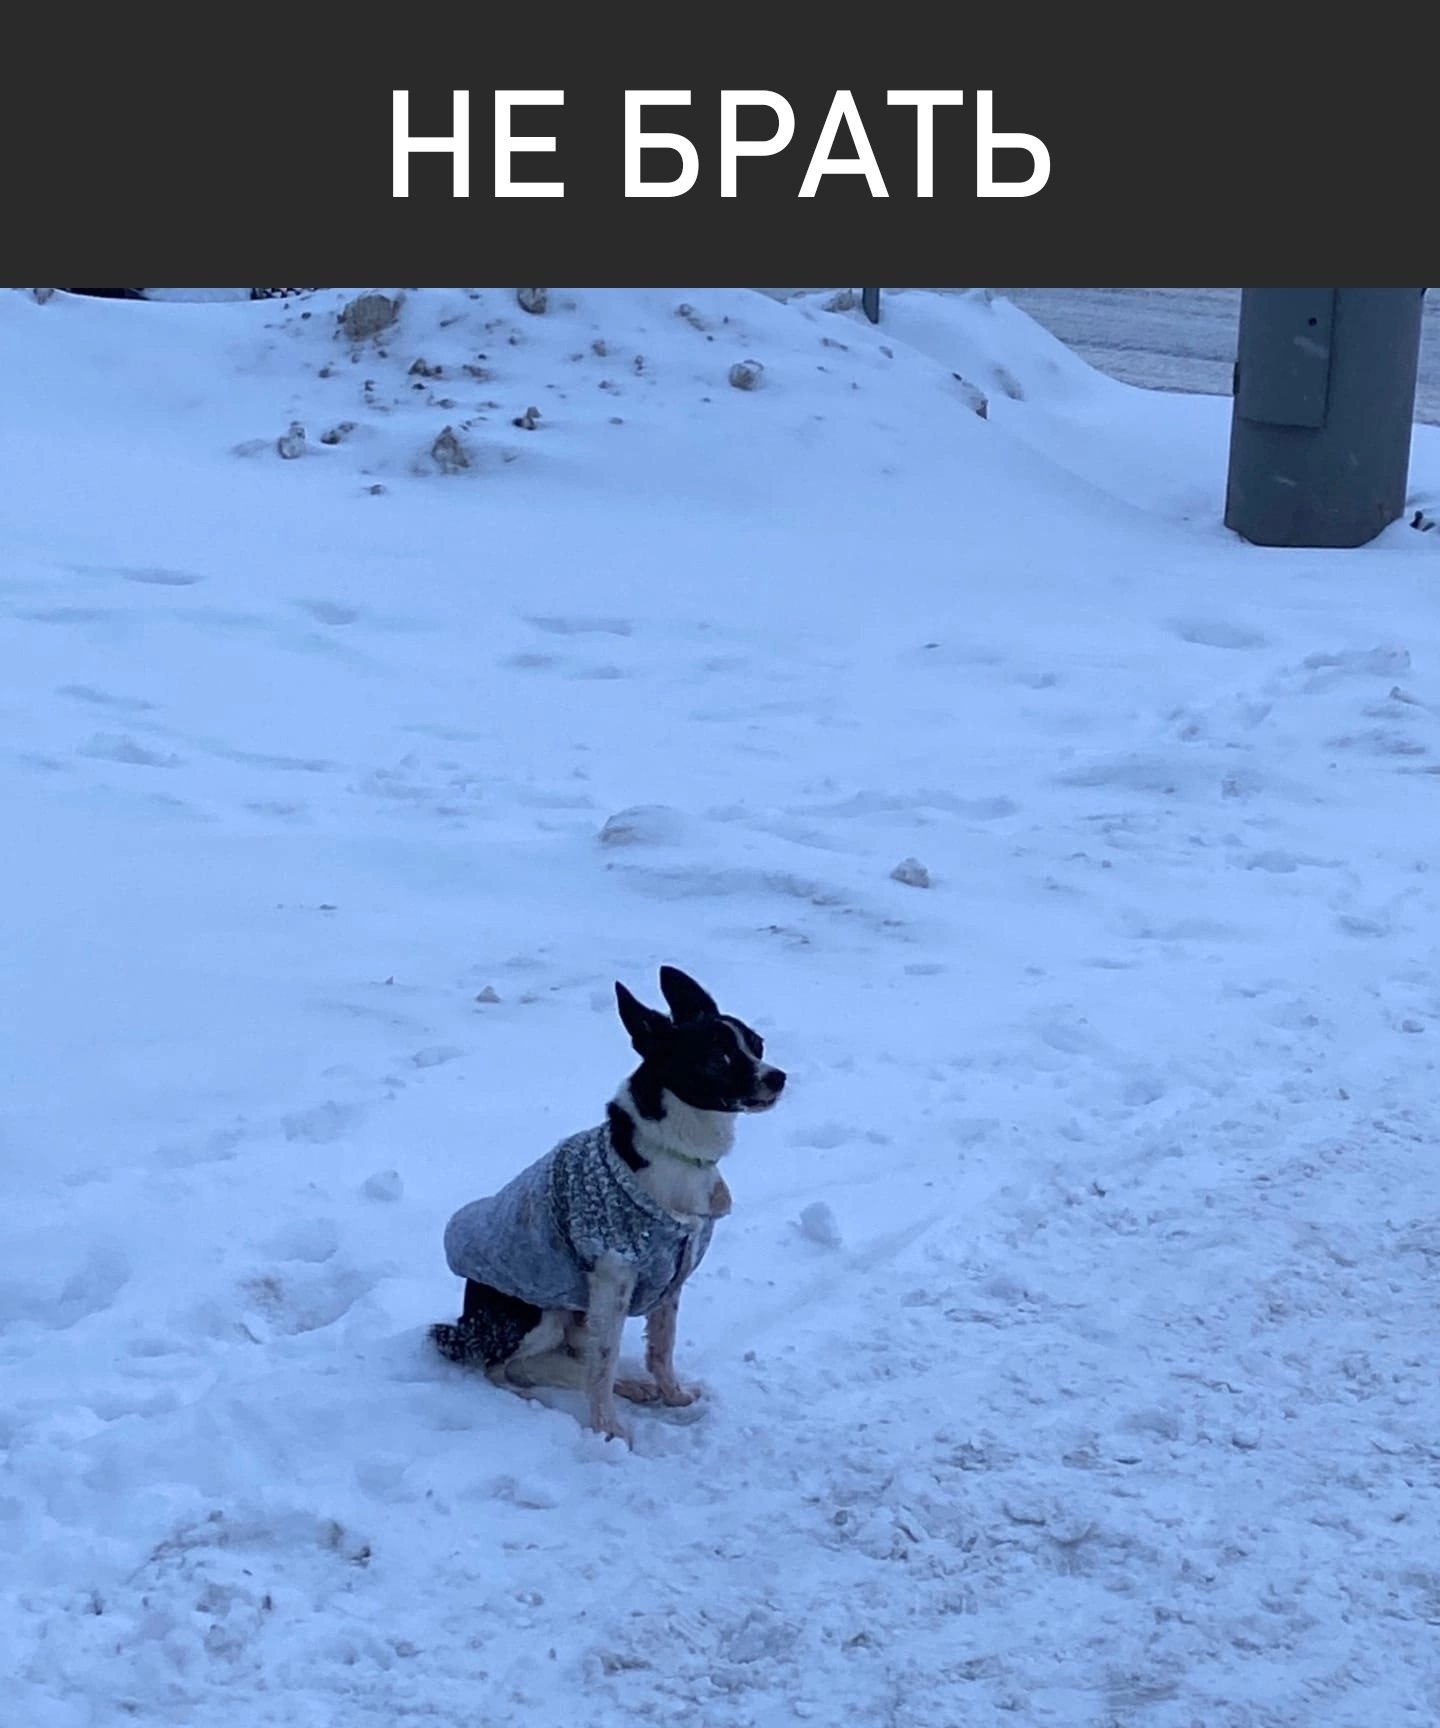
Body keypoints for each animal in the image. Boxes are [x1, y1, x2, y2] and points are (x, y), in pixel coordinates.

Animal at [430, 966, 785, 1444]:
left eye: (757, 1044)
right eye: (719, 1057)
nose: (778, 1077)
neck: (676, 1152)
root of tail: (468, 1323)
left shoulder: (669, 1278)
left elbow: (660, 1349)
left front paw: (673, 1397)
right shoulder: (613, 1278)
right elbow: (604, 1361)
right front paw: (609, 1432)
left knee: (563, 1360)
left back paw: (631, 1386)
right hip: (542, 1313)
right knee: (503, 1367)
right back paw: (536, 1401)